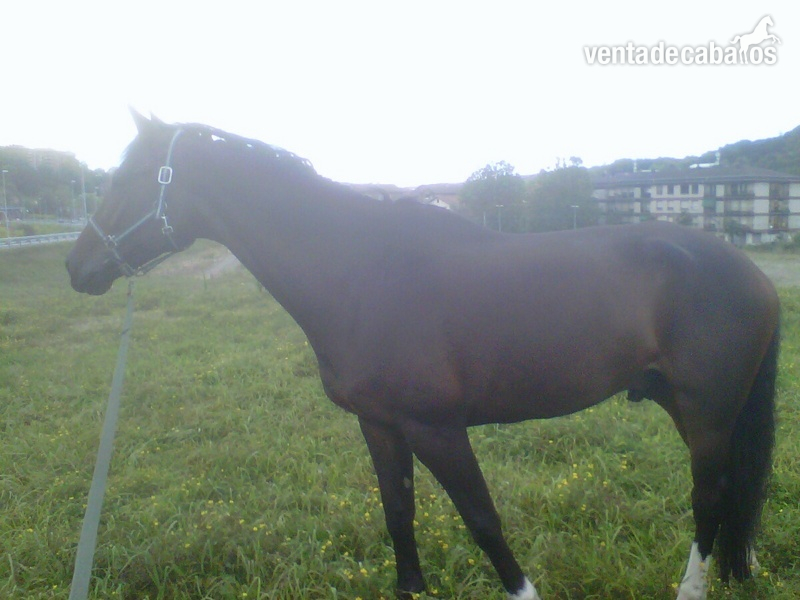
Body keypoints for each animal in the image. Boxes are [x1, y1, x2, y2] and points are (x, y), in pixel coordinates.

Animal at [66, 111, 780, 600]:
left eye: (130, 177)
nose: (78, 268)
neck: (361, 273)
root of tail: (753, 273)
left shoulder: (436, 429)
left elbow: (483, 521)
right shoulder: (379, 425)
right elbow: (399, 514)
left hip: (706, 416)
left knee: (708, 500)